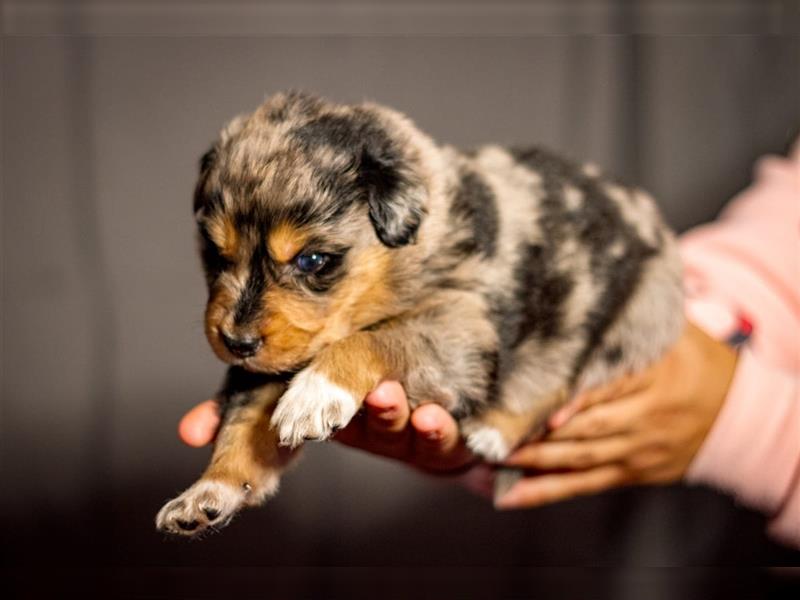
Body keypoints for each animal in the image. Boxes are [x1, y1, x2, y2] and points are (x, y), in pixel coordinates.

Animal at [155, 91, 680, 536]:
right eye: (216, 253)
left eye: (313, 260)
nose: (236, 343)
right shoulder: (272, 359)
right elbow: (242, 425)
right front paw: (209, 492)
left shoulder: (460, 330)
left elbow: (378, 336)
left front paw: (316, 392)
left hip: (638, 313)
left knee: (573, 370)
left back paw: (495, 430)